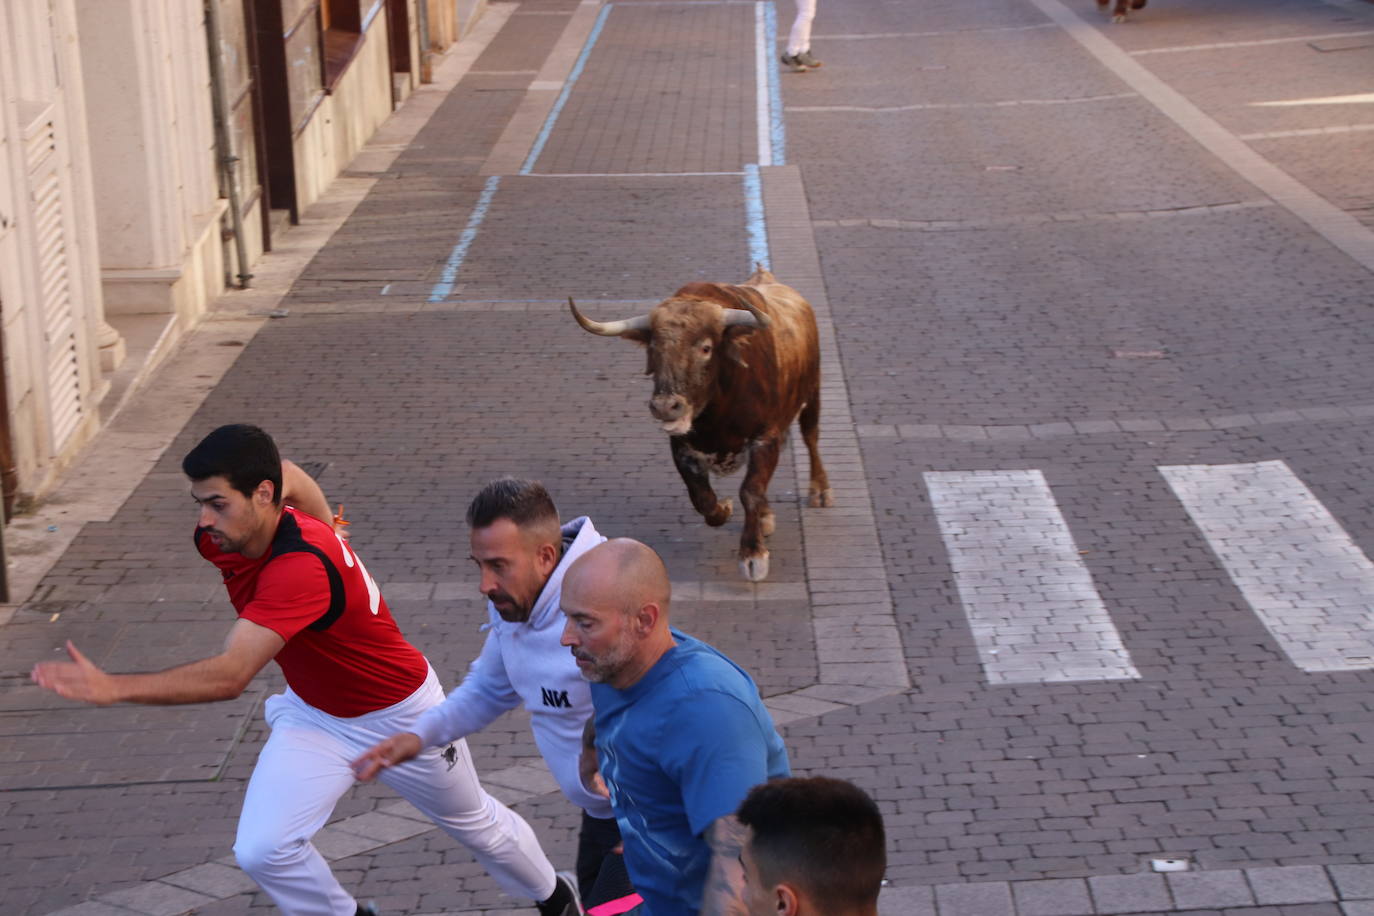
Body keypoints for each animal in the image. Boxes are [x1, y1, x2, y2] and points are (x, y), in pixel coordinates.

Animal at [571, 265, 829, 579]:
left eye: (706, 348)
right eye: (653, 348)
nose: (665, 406)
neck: (718, 414)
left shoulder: (764, 438)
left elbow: (751, 491)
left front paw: (753, 554)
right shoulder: (682, 447)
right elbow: (702, 498)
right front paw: (725, 510)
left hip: (812, 392)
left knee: (811, 437)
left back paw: (819, 491)